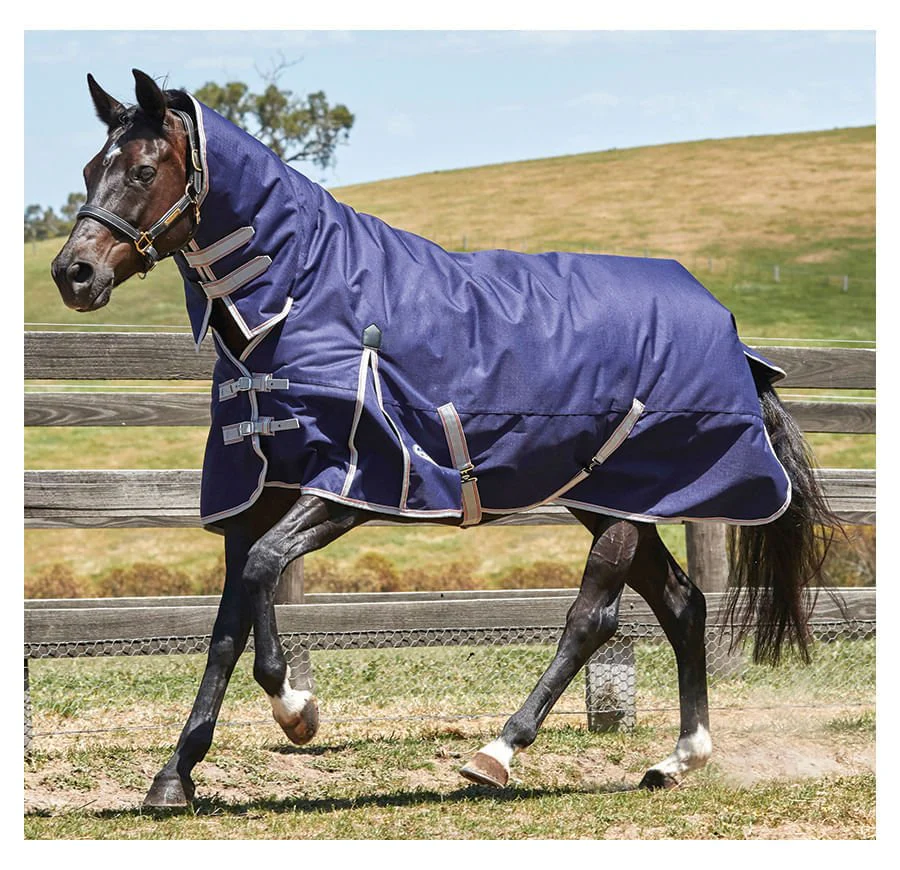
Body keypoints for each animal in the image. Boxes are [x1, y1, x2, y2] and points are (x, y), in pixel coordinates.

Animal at [51, 70, 836, 808]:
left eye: (143, 170)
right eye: (90, 168)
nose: (72, 273)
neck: (300, 299)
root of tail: (724, 324)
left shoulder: (355, 484)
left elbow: (264, 577)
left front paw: (298, 711)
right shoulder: (257, 494)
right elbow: (227, 623)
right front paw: (175, 776)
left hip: (626, 501)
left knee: (595, 617)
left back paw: (499, 752)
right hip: (613, 497)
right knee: (681, 603)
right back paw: (678, 759)